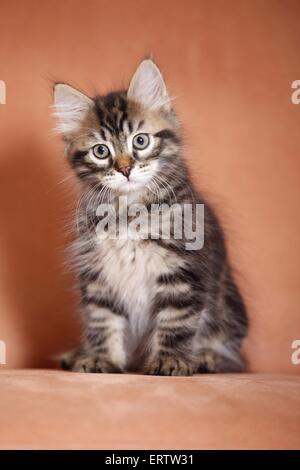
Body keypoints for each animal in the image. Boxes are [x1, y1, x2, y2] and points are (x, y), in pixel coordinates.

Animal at [53, 59, 248, 374]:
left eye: (140, 141)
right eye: (101, 151)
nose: (125, 169)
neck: (129, 212)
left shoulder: (183, 270)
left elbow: (175, 322)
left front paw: (170, 360)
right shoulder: (98, 275)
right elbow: (102, 320)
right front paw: (102, 359)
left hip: (228, 310)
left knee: (233, 358)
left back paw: (206, 358)